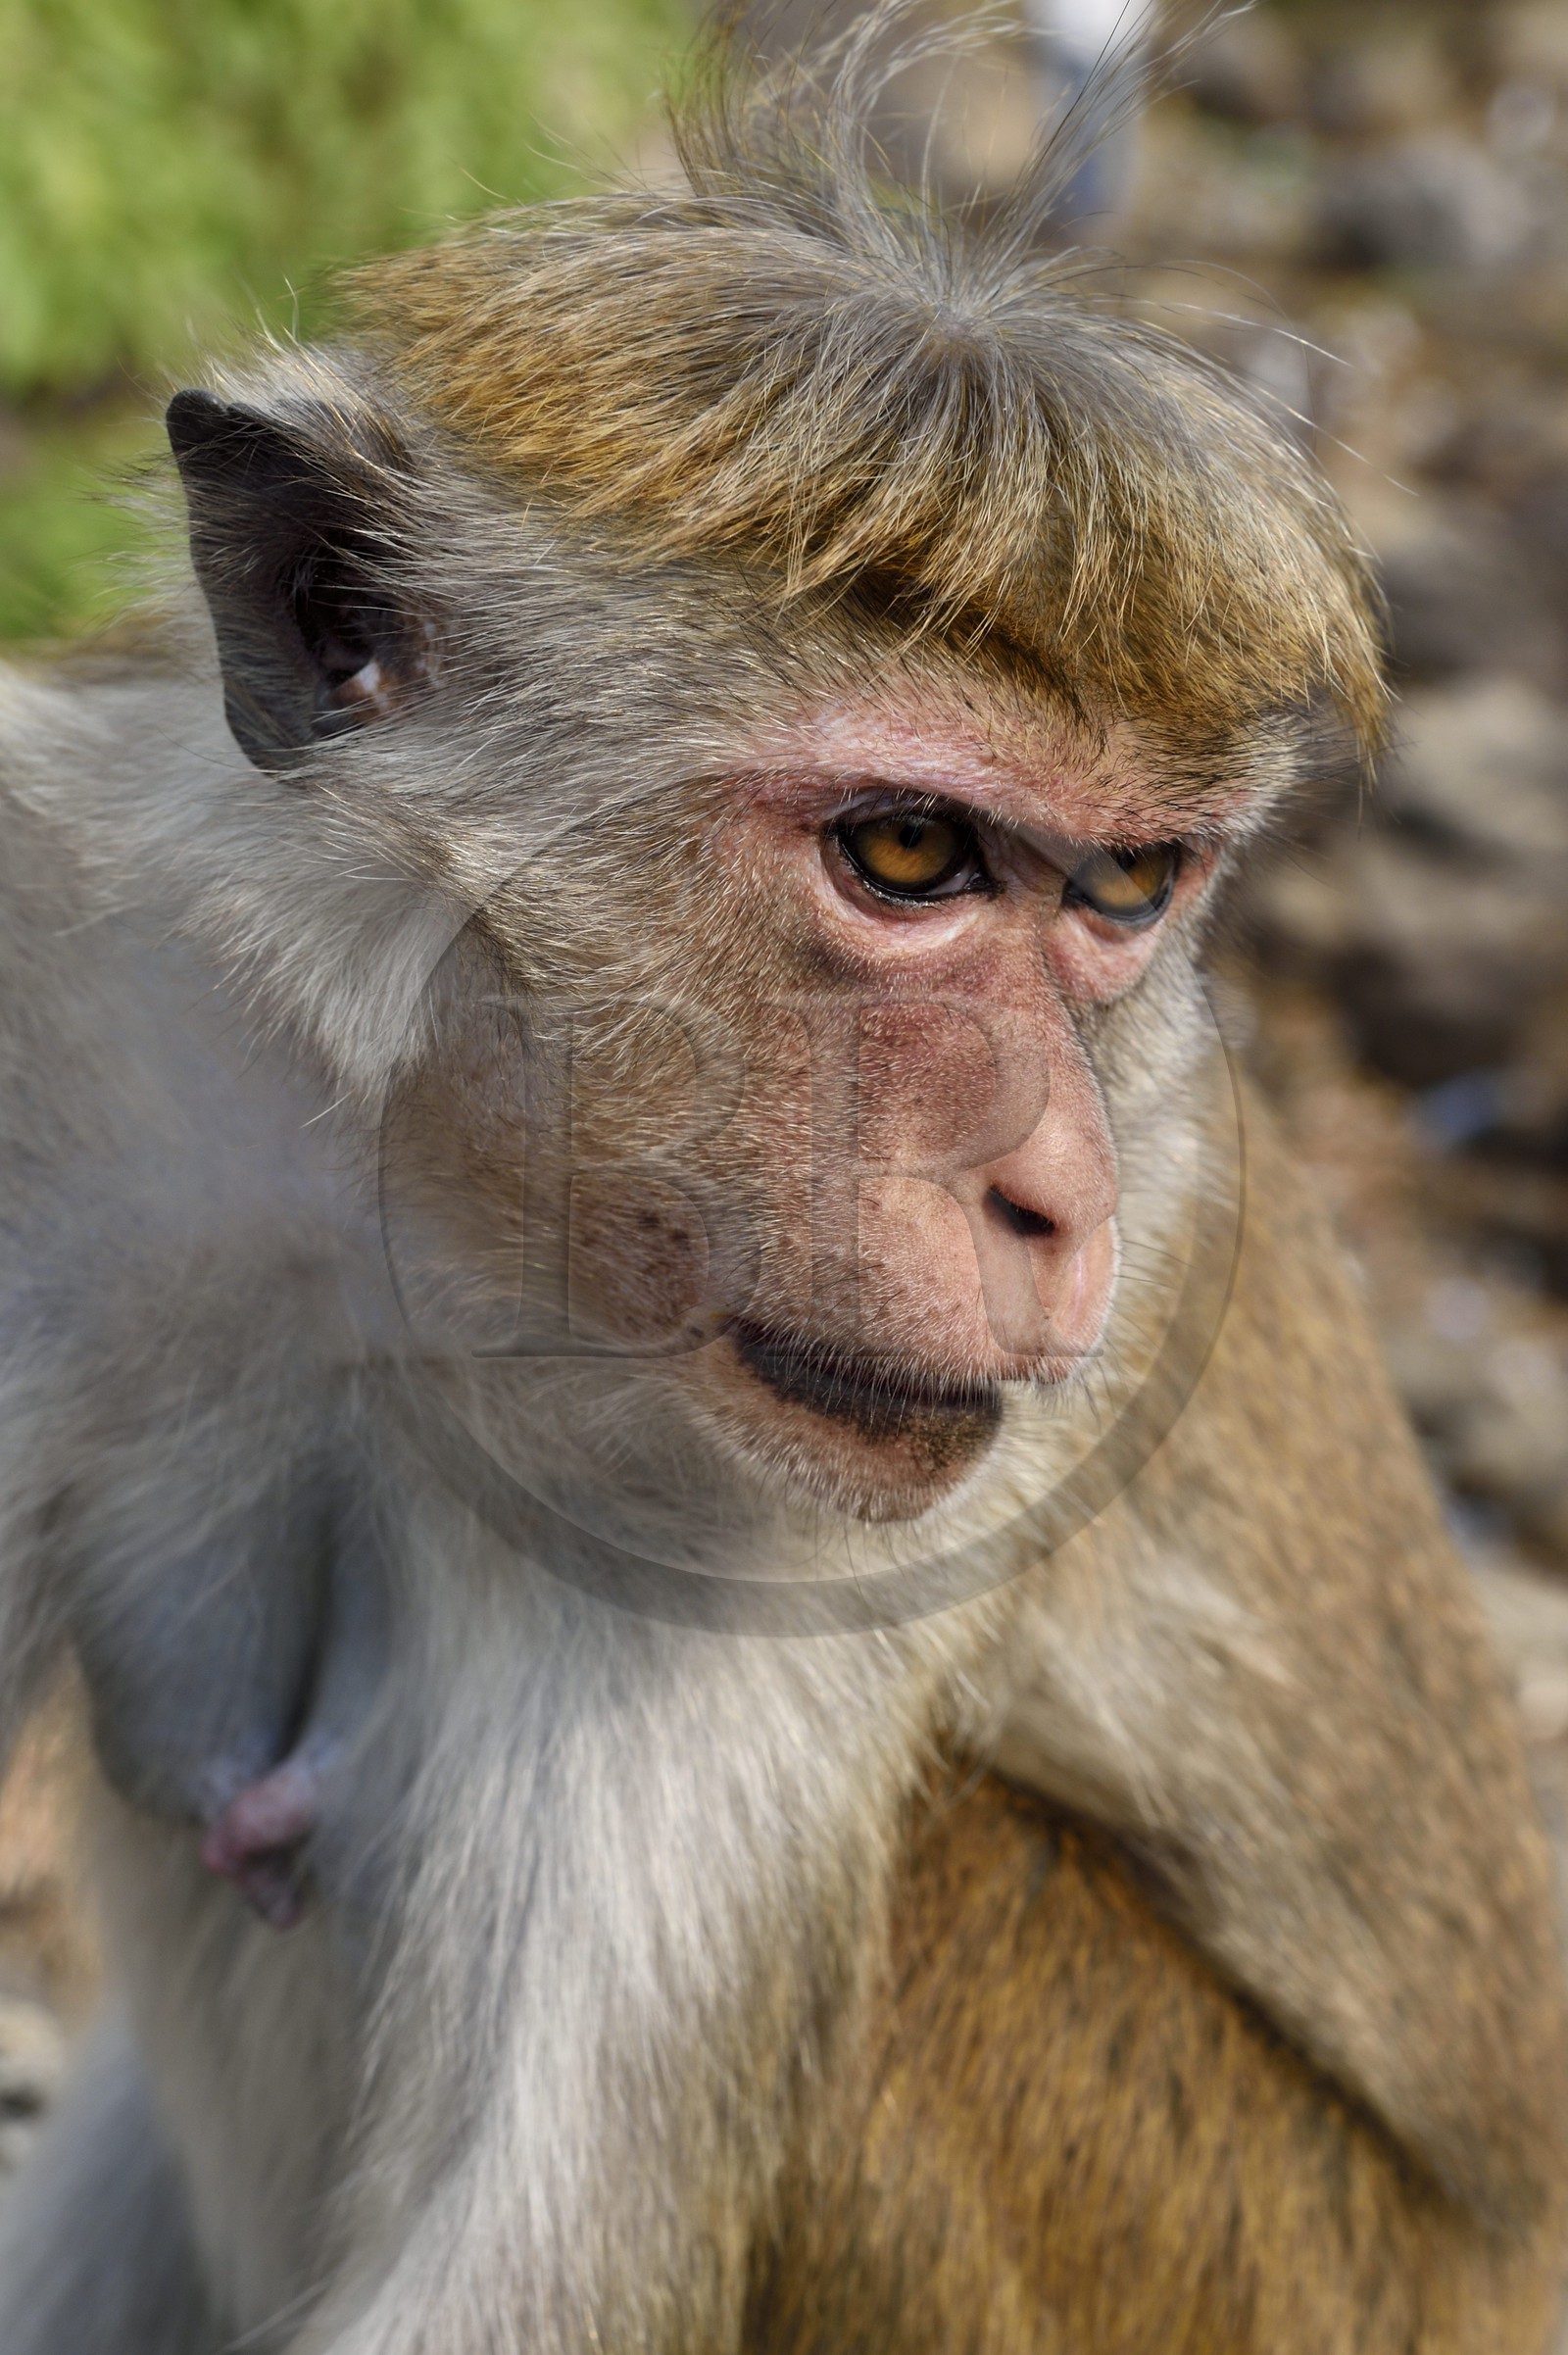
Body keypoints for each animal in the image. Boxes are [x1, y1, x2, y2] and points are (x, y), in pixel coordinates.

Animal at [0, 10, 1563, 2351]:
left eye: (1128, 888)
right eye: (908, 854)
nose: (1058, 1196)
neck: (438, 1216)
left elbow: (543, 2272)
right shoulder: (74, 1004)